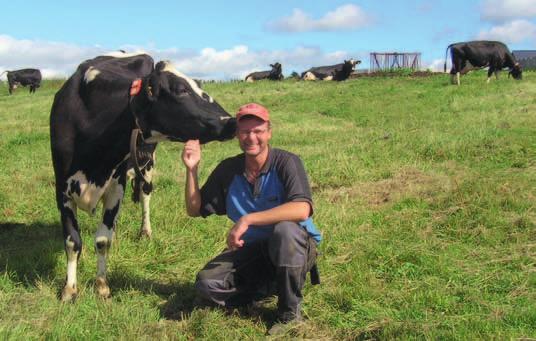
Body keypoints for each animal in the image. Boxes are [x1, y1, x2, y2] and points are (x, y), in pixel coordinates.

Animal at [49, 51, 237, 302]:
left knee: (146, 194)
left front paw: (101, 286)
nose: (231, 121)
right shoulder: (62, 188)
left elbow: (102, 240)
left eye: (198, 84)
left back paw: (145, 231)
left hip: (147, 164)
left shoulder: (116, 186)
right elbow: (73, 241)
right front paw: (69, 289)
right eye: (180, 89)